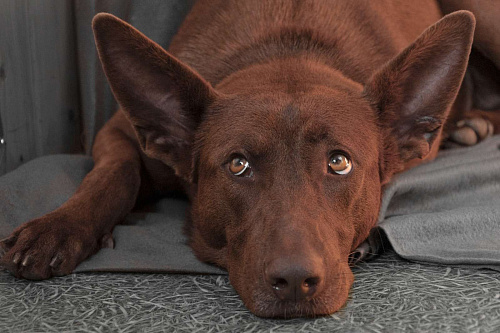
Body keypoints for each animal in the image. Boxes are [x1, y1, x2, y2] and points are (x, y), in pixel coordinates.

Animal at [0, 0, 500, 316]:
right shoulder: (118, 130)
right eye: (238, 165)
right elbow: (114, 174)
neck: (286, 51)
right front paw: (58, 228)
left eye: (339, 162)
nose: (295, 281)